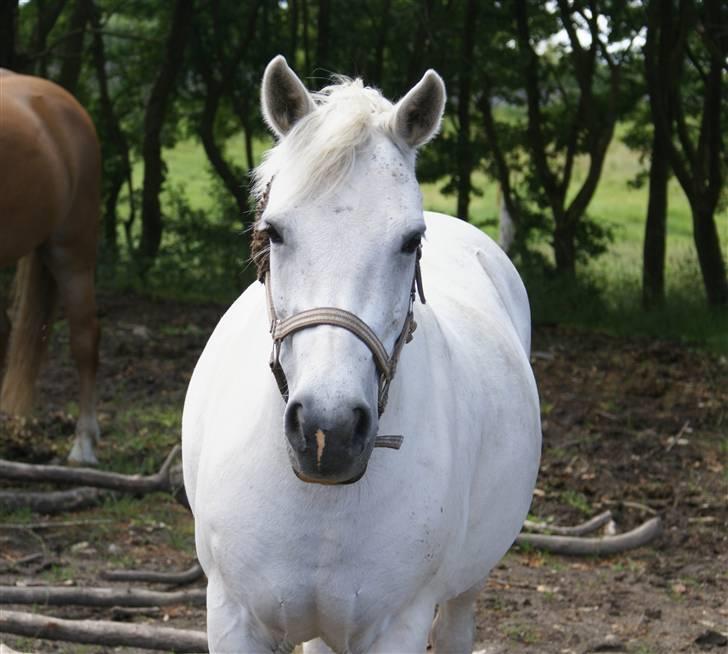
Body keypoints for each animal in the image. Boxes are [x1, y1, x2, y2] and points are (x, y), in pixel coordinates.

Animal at [182, 57, 540, 654]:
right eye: (274, 232)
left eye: (410, 240)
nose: (327, 431)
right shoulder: (232, 615)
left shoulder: (398, 626)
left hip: (466, 587)